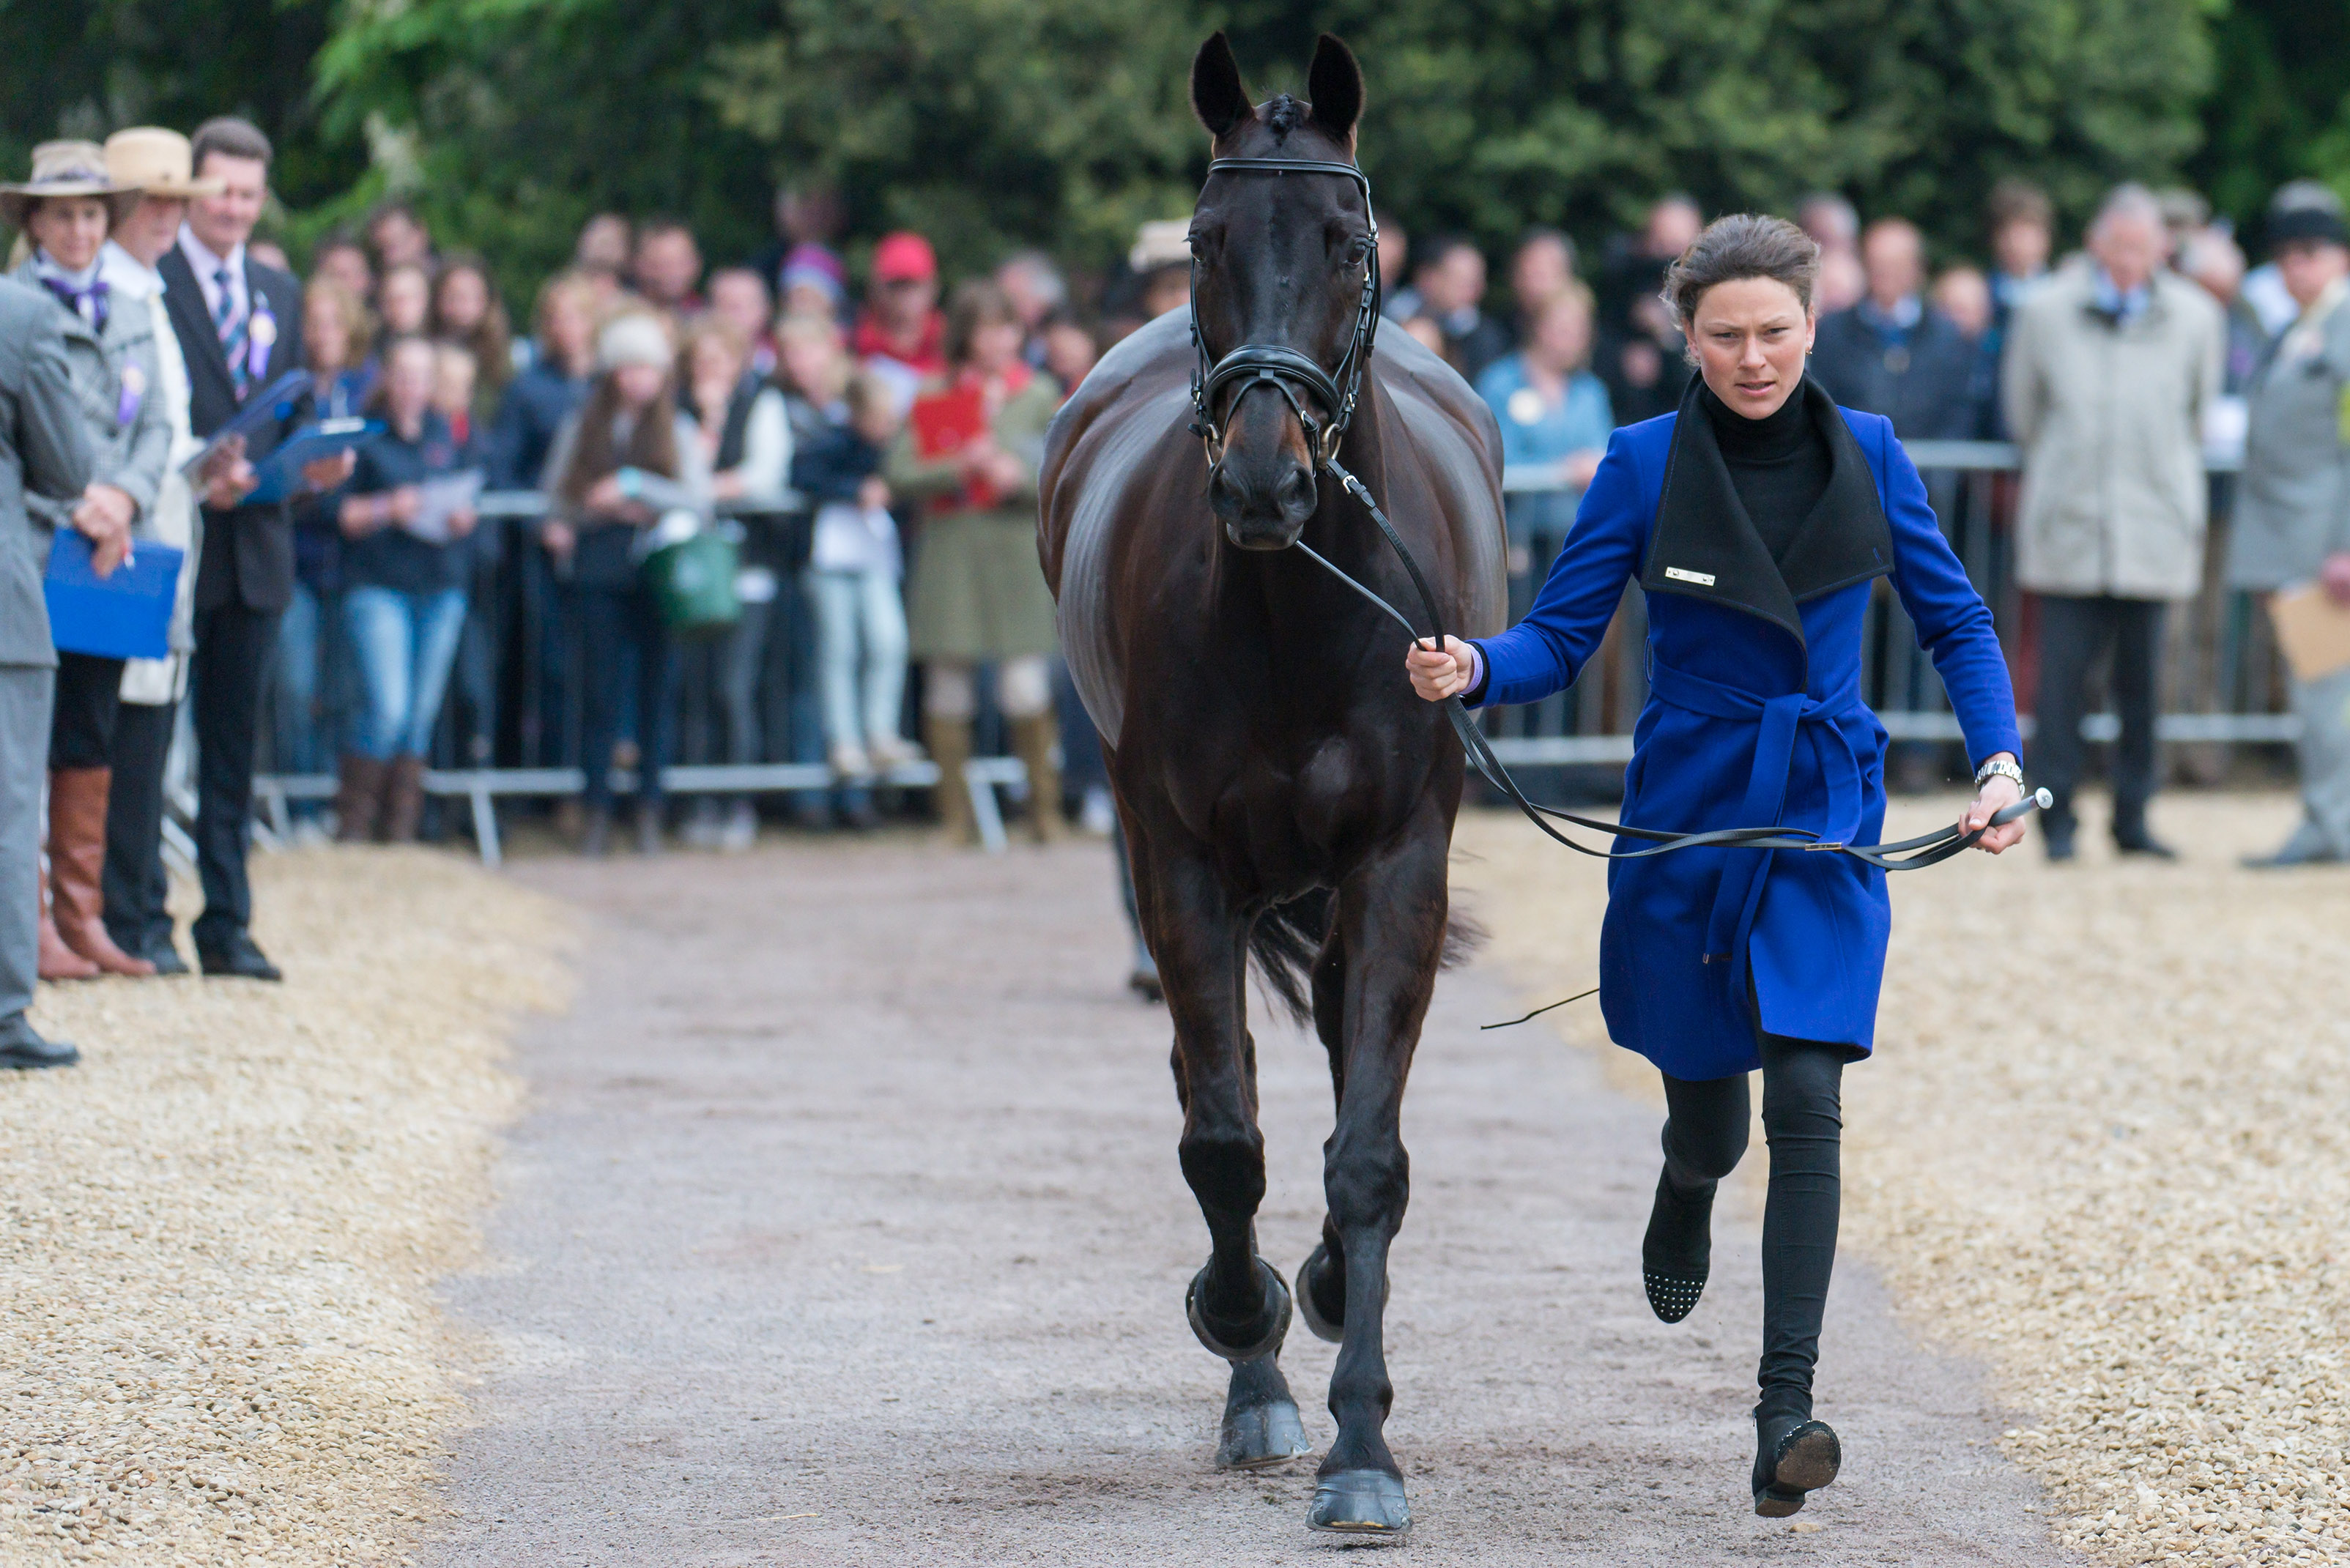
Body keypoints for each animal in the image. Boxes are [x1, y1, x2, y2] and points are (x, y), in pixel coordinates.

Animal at [1043, 30, 1504, 1542]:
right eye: (1203, 238)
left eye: (1348, 246)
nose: (1262, 480)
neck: (1294, 605)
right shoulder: (1179, 867)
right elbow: (1223, 1140)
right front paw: (1244, 1335)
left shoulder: (1397, 864)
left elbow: (1362, 1155)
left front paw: (1363, 1446)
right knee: (1215, 1087)